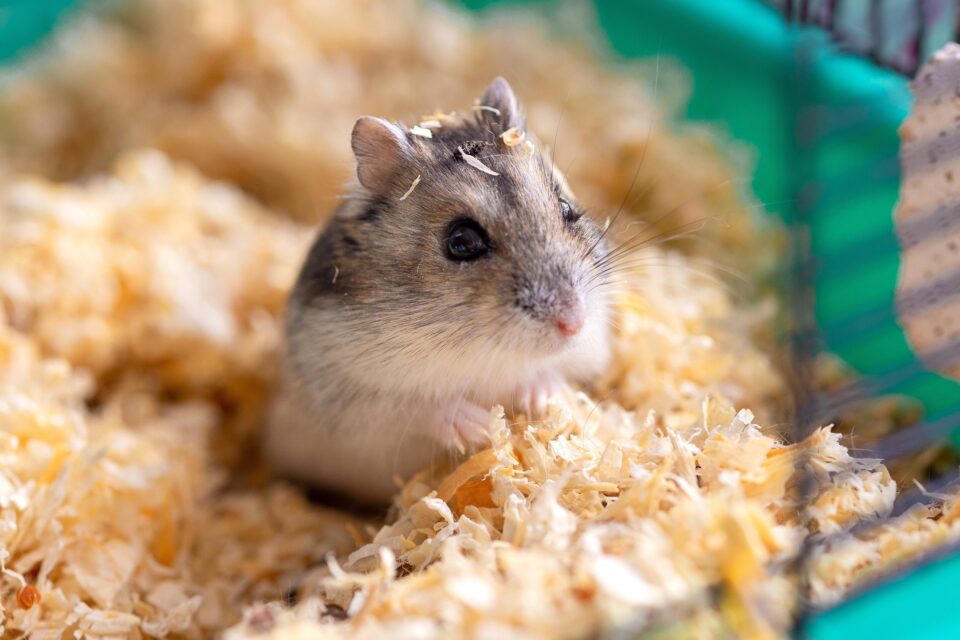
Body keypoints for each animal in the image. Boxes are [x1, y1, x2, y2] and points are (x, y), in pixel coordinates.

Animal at [264, 78, 612, 504]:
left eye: (566, 209)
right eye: (461, 241)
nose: (573, 323)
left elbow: (553, 372)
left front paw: (541, 398)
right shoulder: (351, 401)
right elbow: (416, 408)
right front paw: (479, 427)